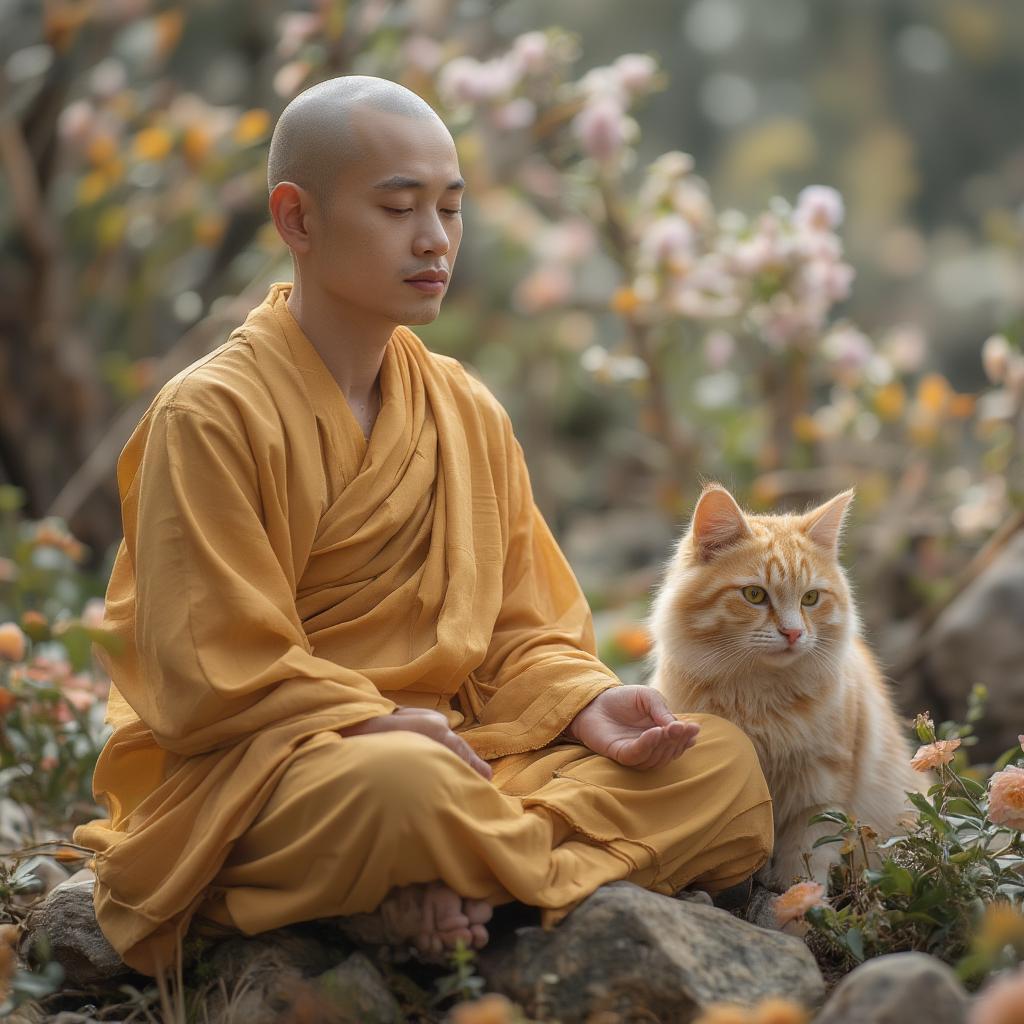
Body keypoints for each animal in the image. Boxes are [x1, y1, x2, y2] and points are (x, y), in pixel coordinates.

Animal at [651, 483, 925, 892]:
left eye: (810, 598)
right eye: (754, 595)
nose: (794, 633)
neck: (759, 697)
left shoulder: (820, 791)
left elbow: (804, 866)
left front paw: (795, 904)